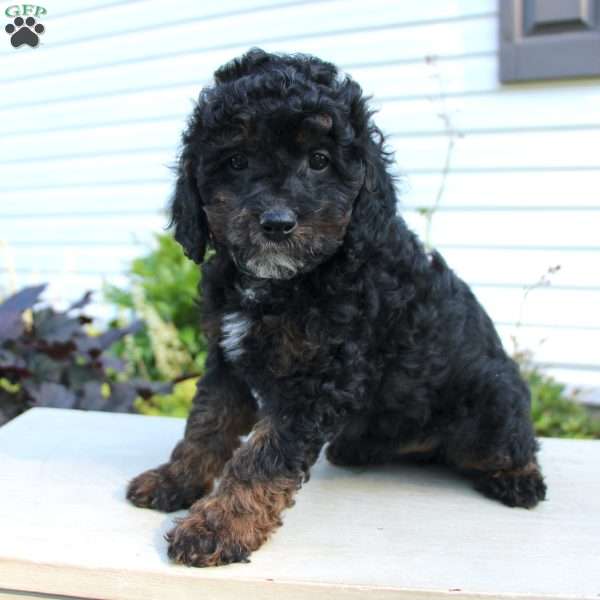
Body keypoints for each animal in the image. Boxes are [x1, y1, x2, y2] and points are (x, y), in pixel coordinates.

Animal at [129, 48, 548, 568]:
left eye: (320, 161)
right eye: (236, 160)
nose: (277, 223)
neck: (283, 283)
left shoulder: (318, 379)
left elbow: (261, 459)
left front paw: (219, 526)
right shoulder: (227, 359)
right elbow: (206, 424)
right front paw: (175, 480)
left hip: (491, 396)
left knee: (510, 443)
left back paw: (519, 478)